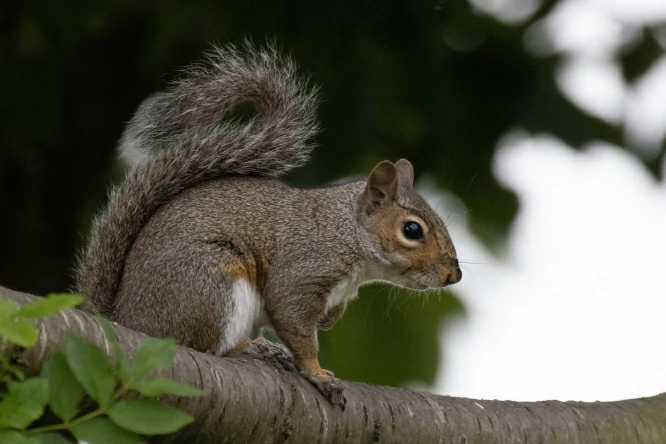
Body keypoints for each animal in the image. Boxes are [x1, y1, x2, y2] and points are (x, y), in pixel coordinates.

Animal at [74, 42, 462, 408]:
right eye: (412, 230)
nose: (453, 275)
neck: (346, 233)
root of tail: (125, 318)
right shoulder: (303, 269)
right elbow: (293, 321)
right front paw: (318, 374)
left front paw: (328, 321)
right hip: (210, 283)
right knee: (202, 346)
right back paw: (252, 349)